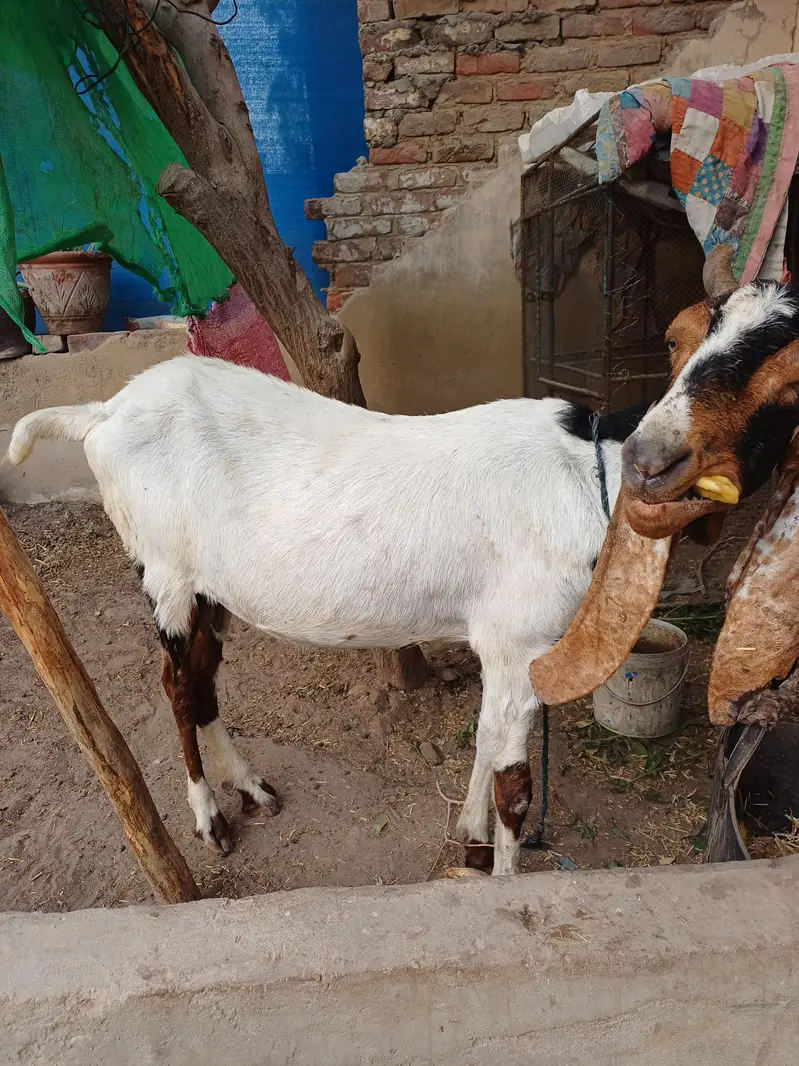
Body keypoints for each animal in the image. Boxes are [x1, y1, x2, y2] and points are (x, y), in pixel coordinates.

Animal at [7, 358, 647, 876]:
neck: (584, 470)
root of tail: (106, 410)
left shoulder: (501, 646)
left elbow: (487, 738)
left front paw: (472, 841)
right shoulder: (519, 639)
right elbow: (514, 786)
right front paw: (502, 875)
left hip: (211, 591)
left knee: (202, 678)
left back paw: (251, 789)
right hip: (165, 573)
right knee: (178, 686)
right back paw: (209, 818)